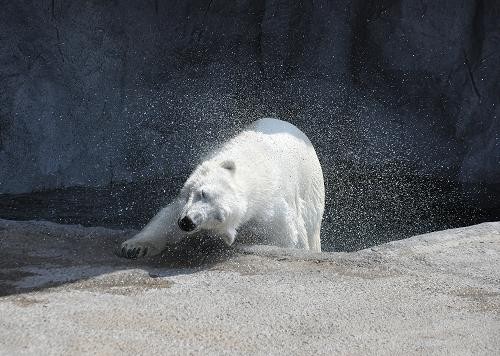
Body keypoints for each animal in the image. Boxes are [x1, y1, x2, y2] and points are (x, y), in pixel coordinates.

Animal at [119, 118, 326, 258]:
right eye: (203, 193)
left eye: (219, 217)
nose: (188, 222)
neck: (256, 168)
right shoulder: (188, 200)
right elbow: (168, 217)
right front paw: (134, 247)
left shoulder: (275, 211)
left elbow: (289, 237)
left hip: (313, 193)